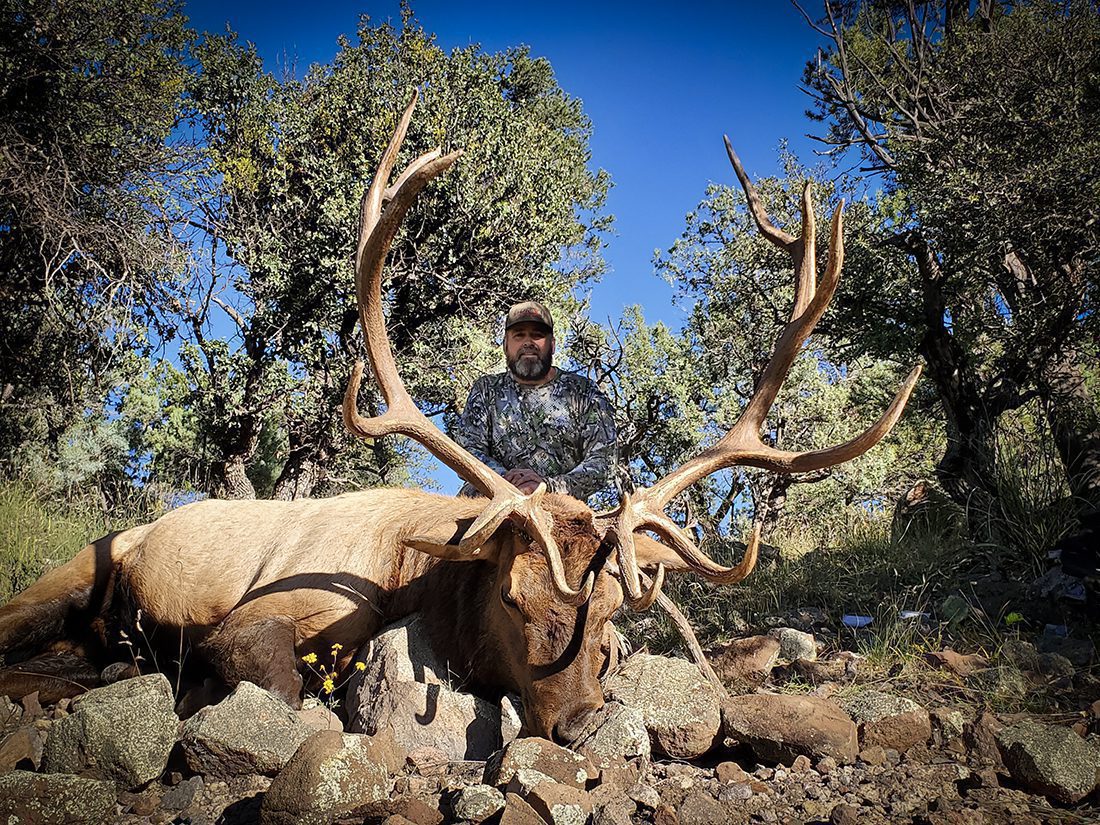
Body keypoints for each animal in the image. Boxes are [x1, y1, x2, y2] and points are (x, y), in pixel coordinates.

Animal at [0, 93, 920, 744]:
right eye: (510, 597)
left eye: (612, 618)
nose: (580, 722)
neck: (423, 578)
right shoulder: (256, 614)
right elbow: (273, 678)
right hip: (72, 569)